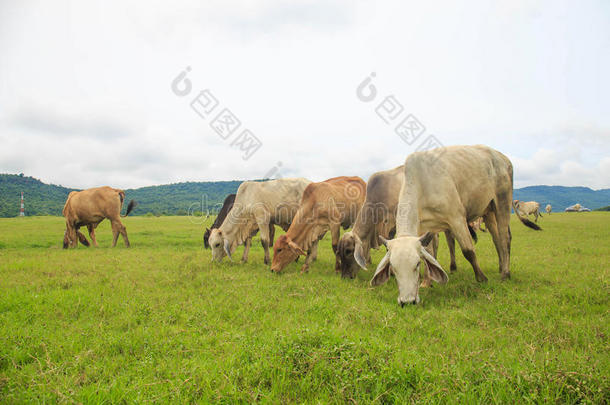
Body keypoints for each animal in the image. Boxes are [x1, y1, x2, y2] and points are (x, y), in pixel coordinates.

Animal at [368, 144, 540, 304]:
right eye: (393, 267)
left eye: (416, 265)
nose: (407, 301)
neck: (422, 182)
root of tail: (503, 158)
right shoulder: (425, 228)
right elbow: (429, 255)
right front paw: (426, 282)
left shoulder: (456, 218)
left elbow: (468, 251)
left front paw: (482, 278)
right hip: (488, 211)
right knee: (497, 239)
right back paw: (500, 267)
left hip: (502, 200)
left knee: (505, 237)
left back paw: (505, 273)